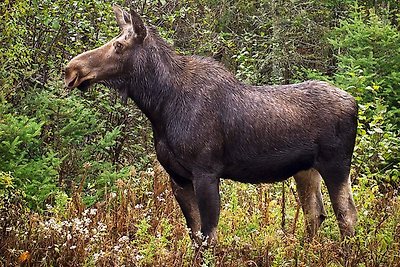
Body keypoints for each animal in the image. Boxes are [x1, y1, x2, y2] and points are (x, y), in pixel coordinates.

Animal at [64, 4, 358, 247]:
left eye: (118, 46)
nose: (71, 69)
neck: (160, 106)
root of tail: (355, 103)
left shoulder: (206, 171)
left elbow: (209, 237)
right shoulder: (178, 177)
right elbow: (195, 235)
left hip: (336, 164)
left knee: (347, 216)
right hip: (305, 170)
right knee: (316, 214)